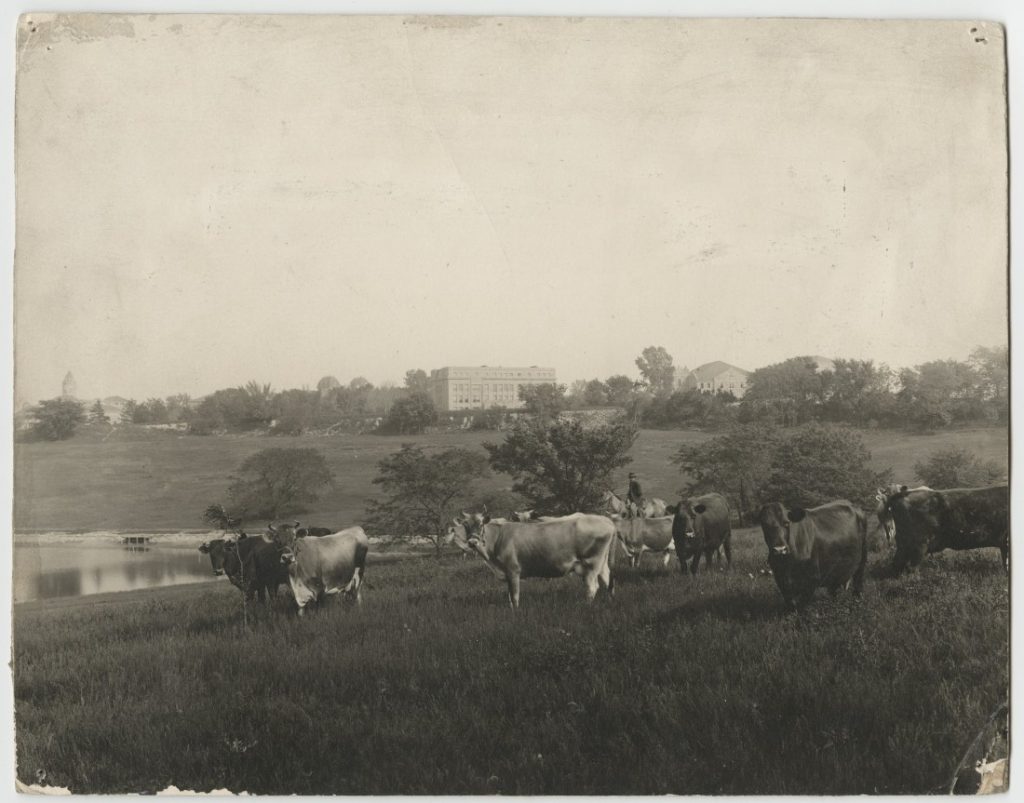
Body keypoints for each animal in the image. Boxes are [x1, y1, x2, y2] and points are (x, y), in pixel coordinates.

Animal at [458, 514, 614, 610]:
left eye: (480, 524)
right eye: (465, 525)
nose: (472, 542)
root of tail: (606, 521)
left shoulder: (513, 570)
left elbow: (514, 596)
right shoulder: (507, 574)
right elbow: (509, 597)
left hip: (591, 564)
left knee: (592, 587)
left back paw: (585, 606)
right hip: (601, 563)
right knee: (608, 580)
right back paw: (610, 600)